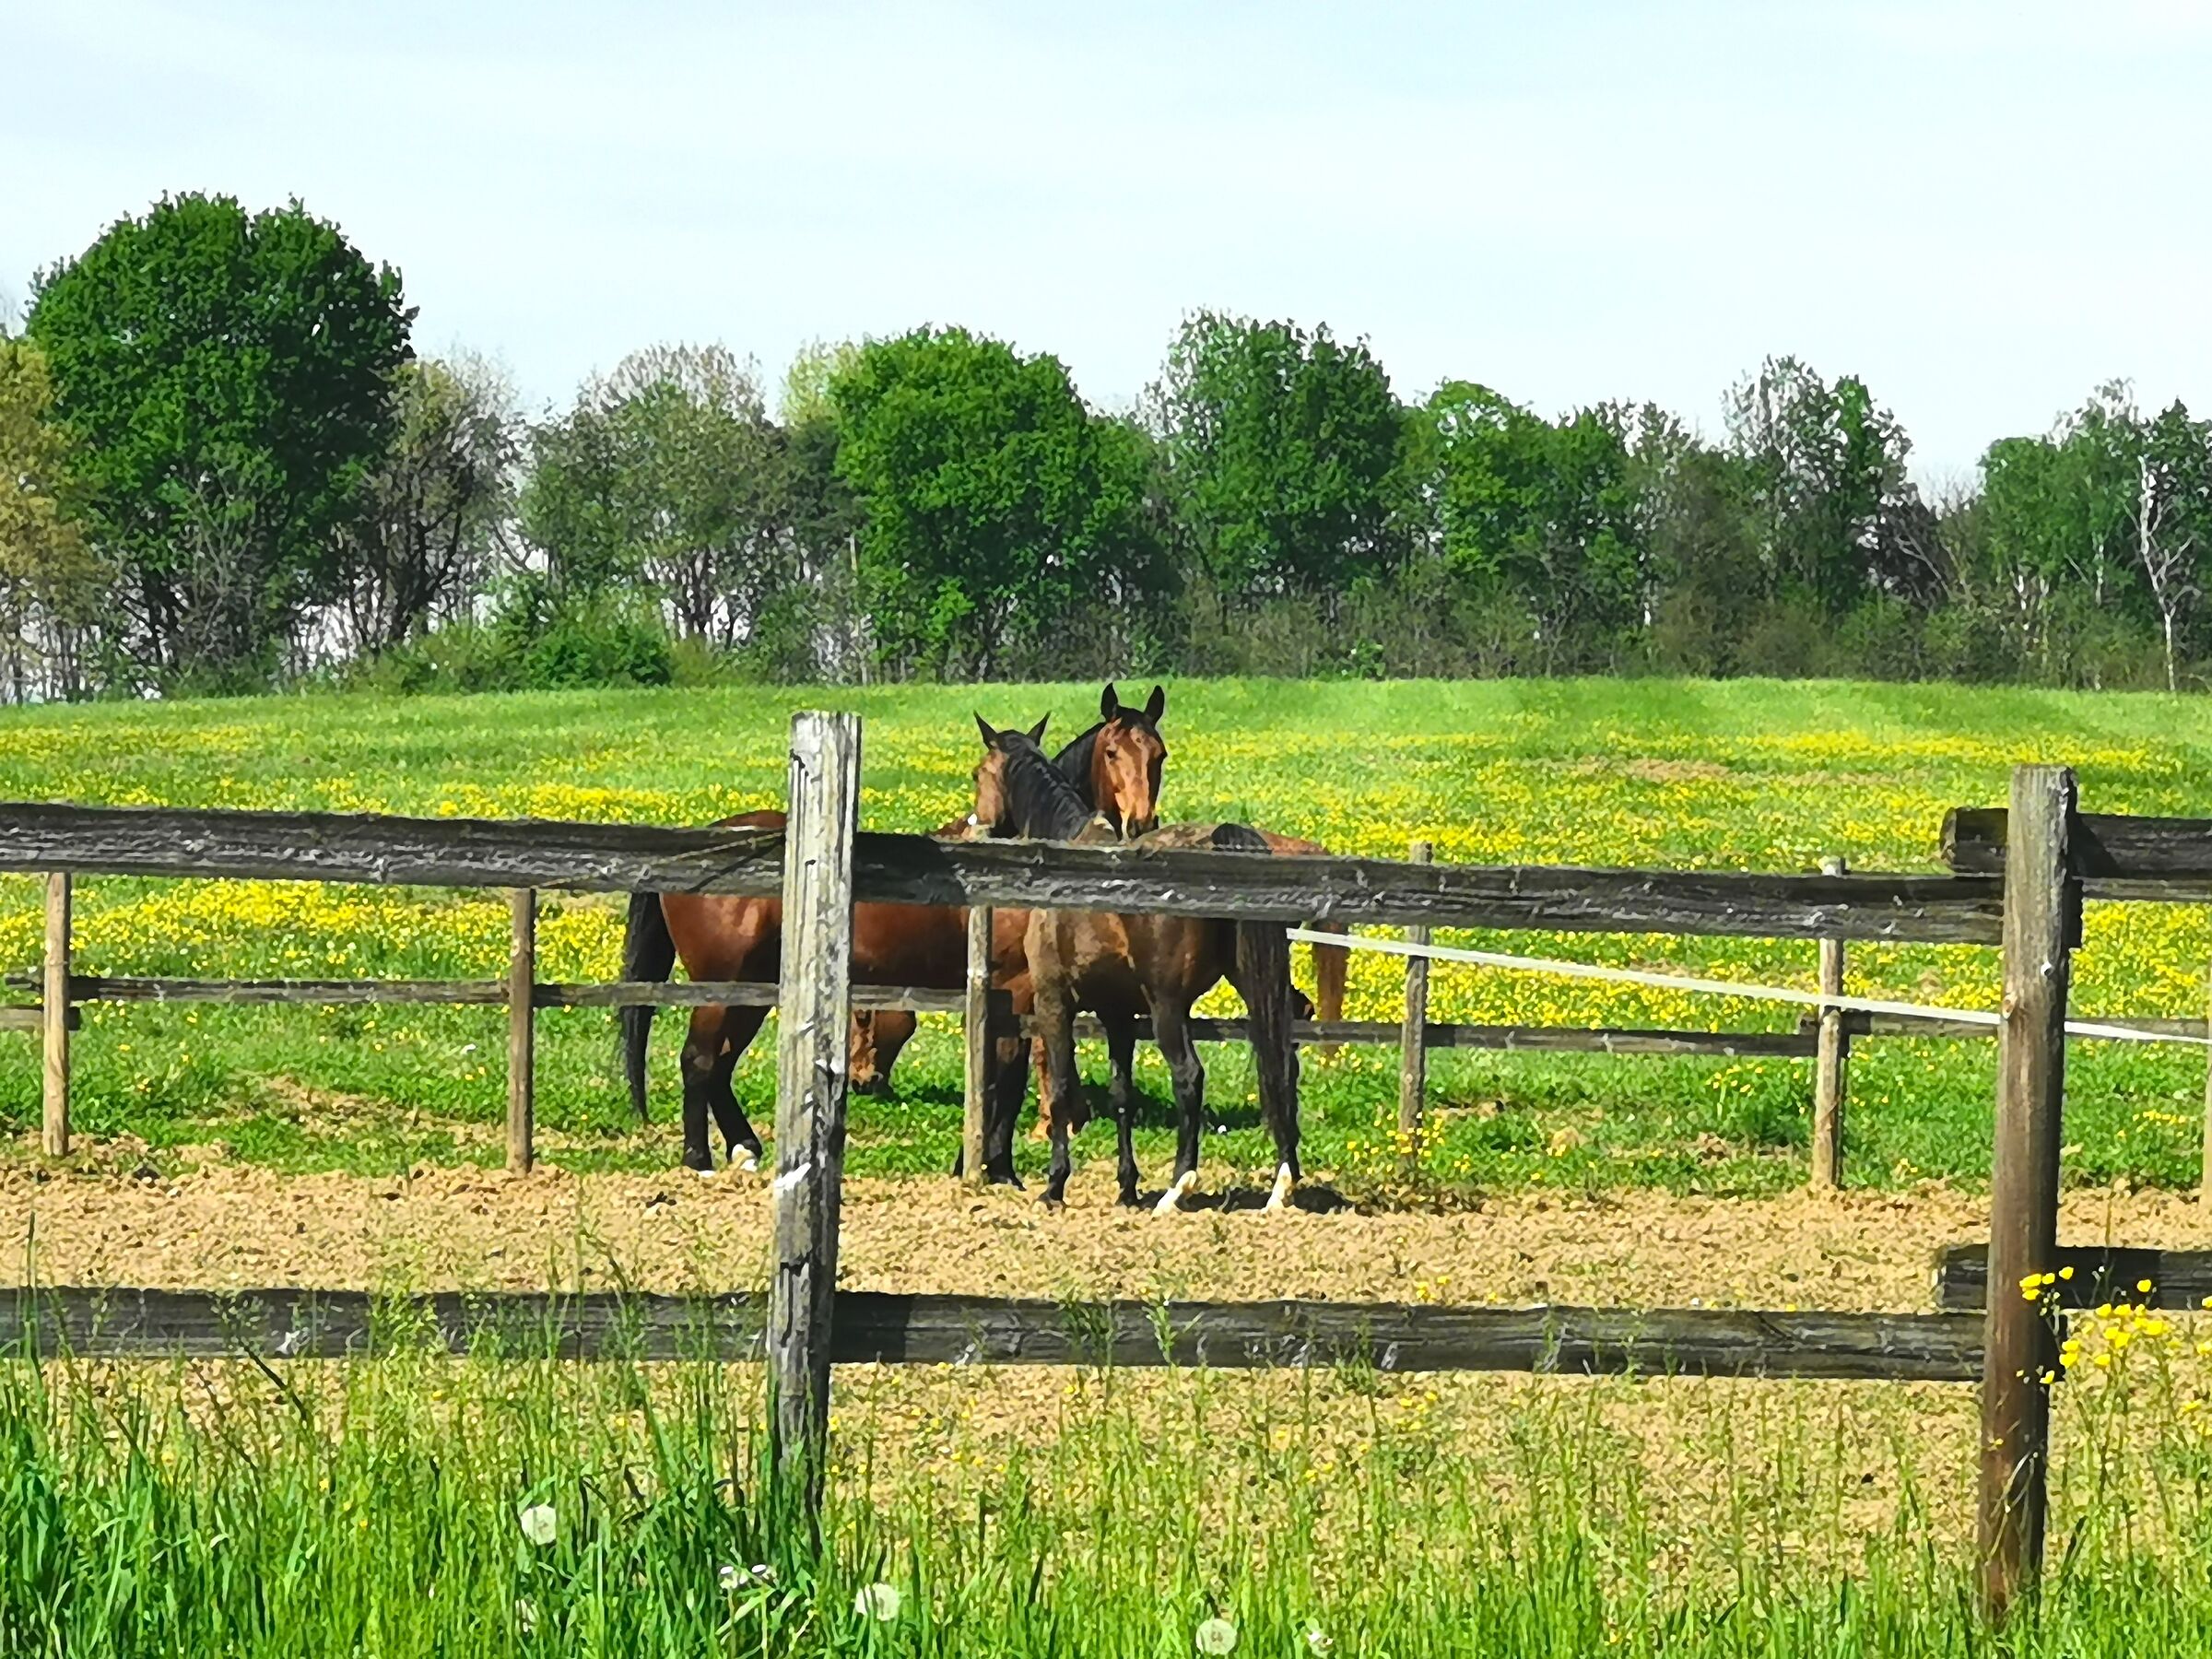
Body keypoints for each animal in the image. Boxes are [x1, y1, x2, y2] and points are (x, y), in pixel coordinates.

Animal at [619, 687, 1171, 1175]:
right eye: (1112, 751)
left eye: (1159, 755)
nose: (1140, 823)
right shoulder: (1016, 991)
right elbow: (1009, 1076)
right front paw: (1005, 1159)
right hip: (724, 984)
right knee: (699, 1060)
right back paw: (699, 1160)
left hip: (752, 988)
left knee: (721, 1063)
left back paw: (744, 1148)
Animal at [969, 716, 1303, 1215]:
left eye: (979, 774)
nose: (981, 826)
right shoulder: (1118, 1014)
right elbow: (1120, 1093)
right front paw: (1126, 1187)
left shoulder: (1053, 1001)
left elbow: (1062, 1089)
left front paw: (1055, 1185)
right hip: (1255, 990)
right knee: (1280, 1064)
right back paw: (1282, 1185)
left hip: (1167, 1007)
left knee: (1189, 1077)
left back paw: (1178, 1186)